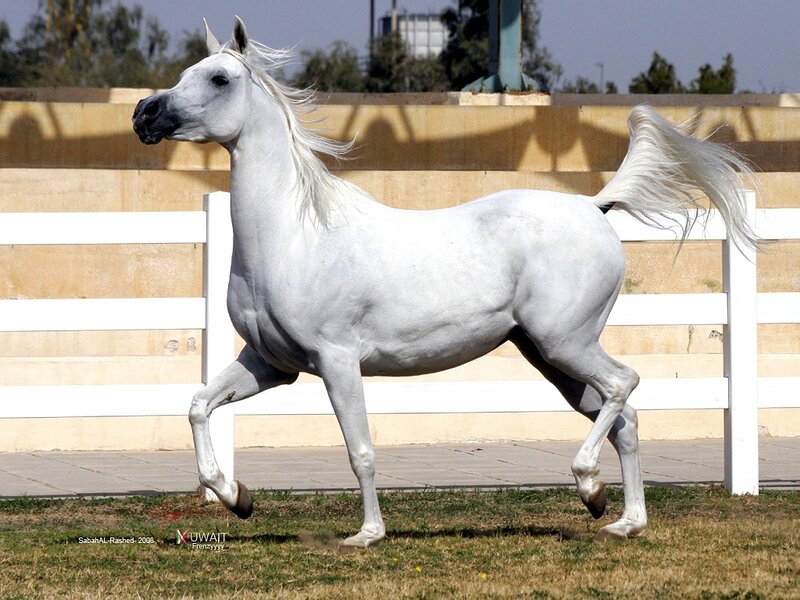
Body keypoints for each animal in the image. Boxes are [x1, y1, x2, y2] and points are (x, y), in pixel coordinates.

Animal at [132, 17, 758, 547]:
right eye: (185, 71)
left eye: (218, 77)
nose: (144, 113)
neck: (294, 234)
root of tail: (594, 206)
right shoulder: (271, 363)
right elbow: (198, 406)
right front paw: (236, 497)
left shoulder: (336, 361)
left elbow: (360, 449)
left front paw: (367, 535)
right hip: (550, 356)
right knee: (623, 416)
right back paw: (621, 518)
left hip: (566, 343)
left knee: (624, 384)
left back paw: (588, 485)